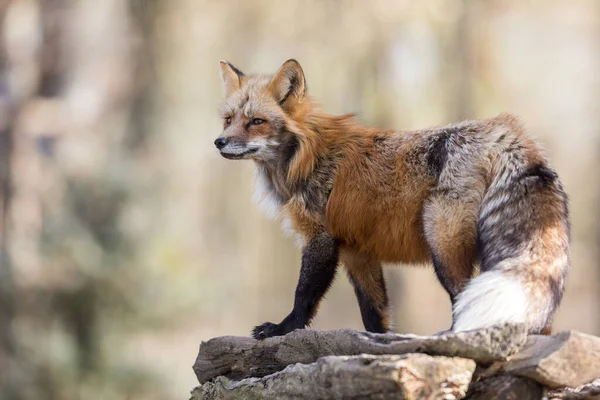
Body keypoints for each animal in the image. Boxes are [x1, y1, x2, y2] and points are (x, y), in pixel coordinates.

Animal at [213, 59, 568, 340]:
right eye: (228, 119)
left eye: (256, 121)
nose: (219, 142)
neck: (306, 157)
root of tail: (503, 130)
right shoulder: (357, 252)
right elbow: (374, 314)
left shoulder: (321, 239)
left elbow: (304, 295)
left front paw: (282, 329)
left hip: (442, 245)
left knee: (465, 299)